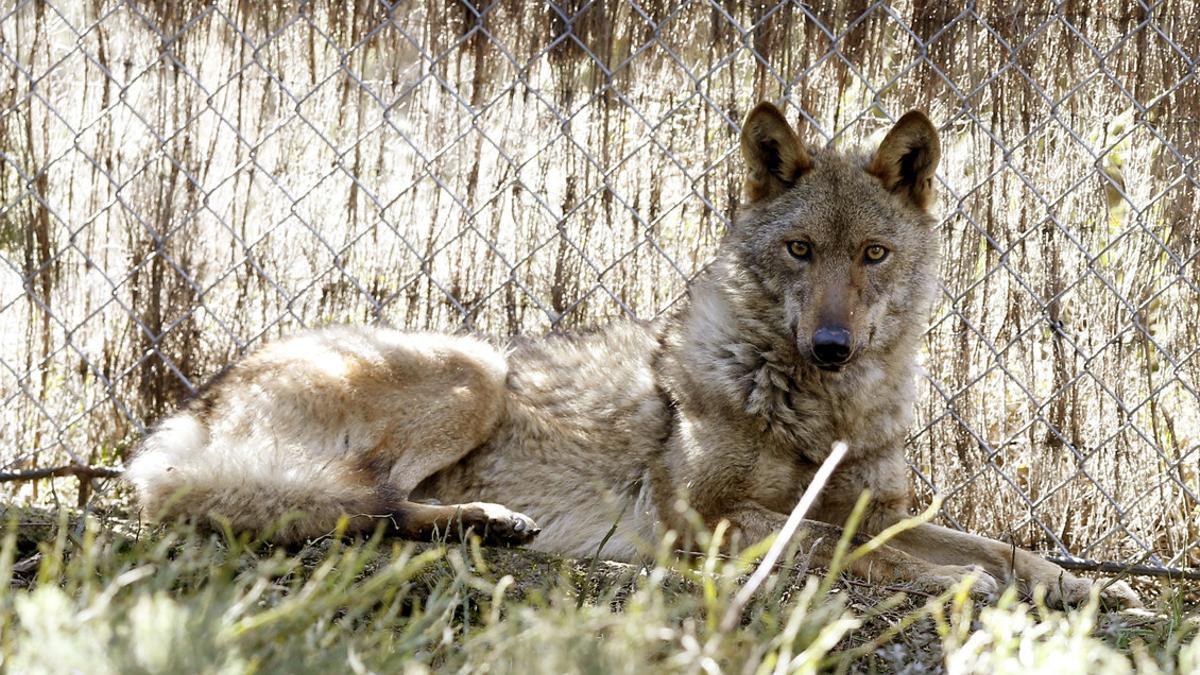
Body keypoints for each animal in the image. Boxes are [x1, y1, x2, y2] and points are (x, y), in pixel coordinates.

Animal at [124, 100, 1142, 610]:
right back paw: (493, 521)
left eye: (873, 255)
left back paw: (491, 525)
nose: (831, 343)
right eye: (799, 250)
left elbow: (989, 540)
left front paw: (1082, 586)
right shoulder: (710, 522)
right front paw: (959, 581)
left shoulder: (879, 503)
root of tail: (179, 425)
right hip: (472, 368)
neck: (825, 409)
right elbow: (848, 546)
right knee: (357, 503)